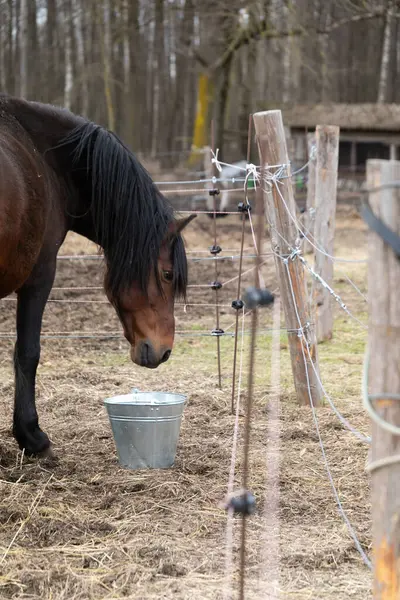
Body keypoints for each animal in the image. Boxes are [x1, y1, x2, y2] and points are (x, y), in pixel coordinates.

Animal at [0, 95, 195, 454]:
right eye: (166, 273)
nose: (164, 351)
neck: (46, 161)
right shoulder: (40, 274)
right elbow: (28, 352)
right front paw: (31, 435)